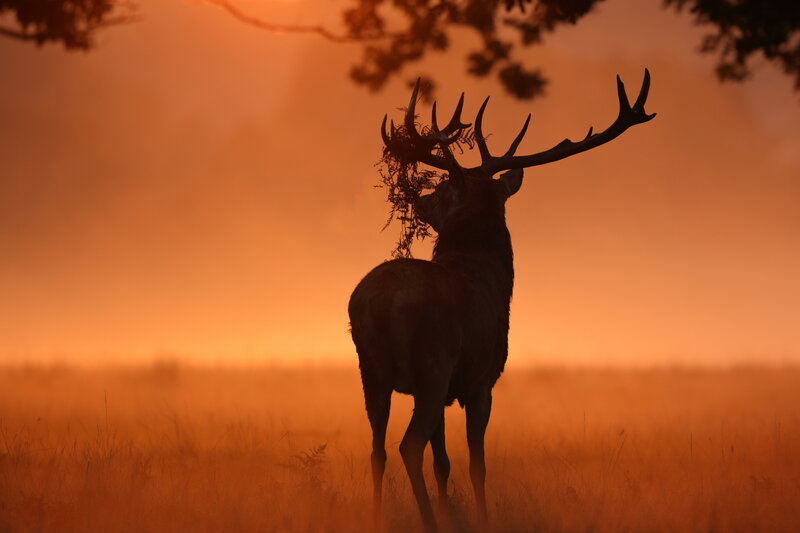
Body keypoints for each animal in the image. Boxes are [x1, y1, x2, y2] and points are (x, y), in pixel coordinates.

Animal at [348, 70, 655, 532]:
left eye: (441, 190)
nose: (419, 199)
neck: (493, 278)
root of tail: (381, 302)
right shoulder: (482, 380)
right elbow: (477, 464)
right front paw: (479, 517)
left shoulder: (451, 387)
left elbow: (444, 463)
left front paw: (451, 510)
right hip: (431, 364)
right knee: (408, 446)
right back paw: (427, 523)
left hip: (371, 372)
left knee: (377, 449)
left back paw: (375, 517)